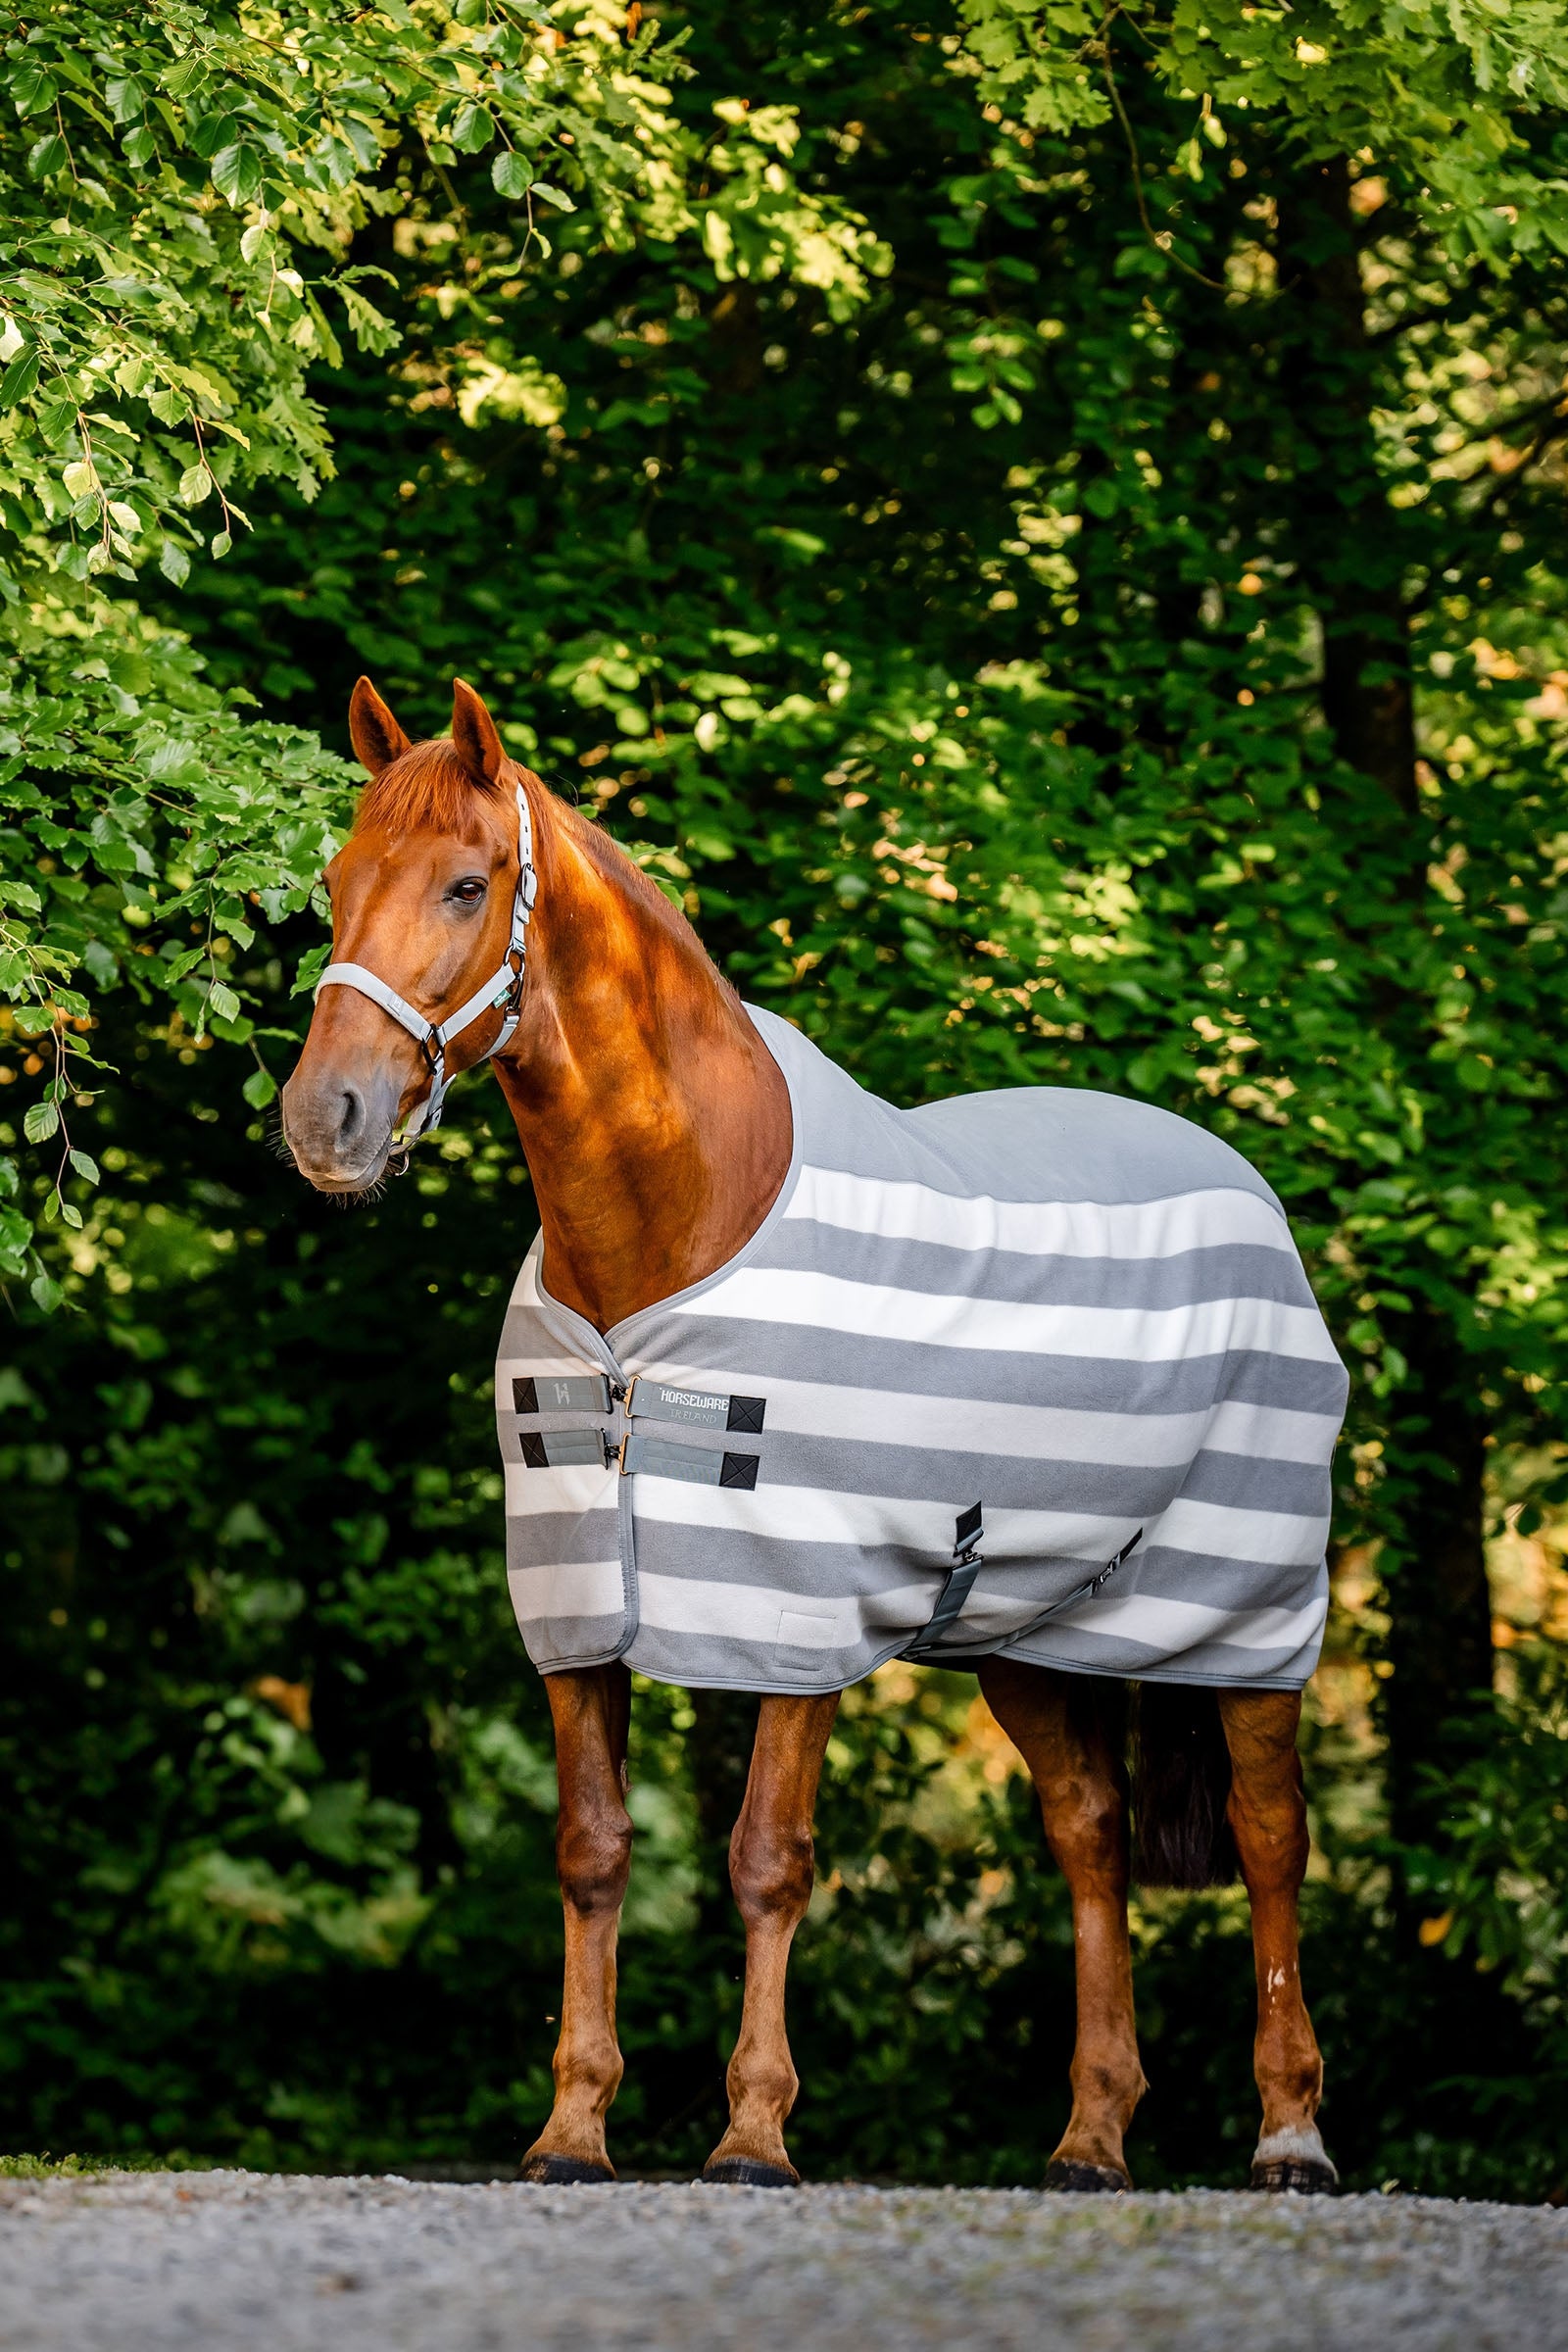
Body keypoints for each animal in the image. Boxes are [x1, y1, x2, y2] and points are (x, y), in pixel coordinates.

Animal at [282, 674, 1341, 2196]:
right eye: (334, 882)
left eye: (466, 884)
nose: (329, 1120)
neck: (672, 1232)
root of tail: (1242, 1182)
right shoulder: (576, 1608)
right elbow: (592, 1851)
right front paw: (572, 2130)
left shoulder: (800, 1609)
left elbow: (767, 1857)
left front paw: (753, 2135)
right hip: (1026, 1626)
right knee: (1091, 1836)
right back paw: (1090, 2138)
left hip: (1249, 1601)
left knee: (1269, 1838)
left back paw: (1289, 2132)